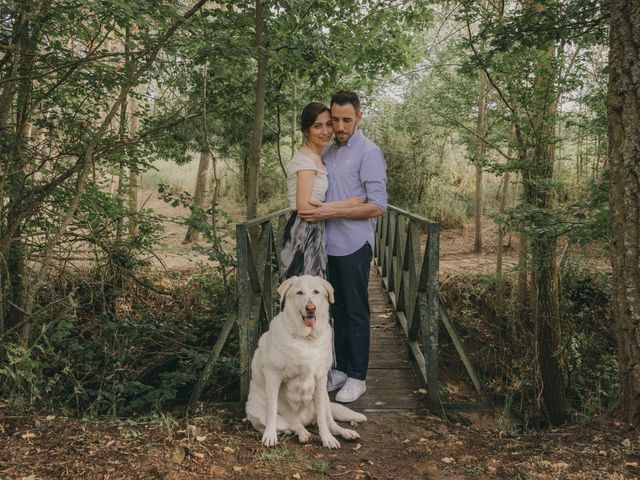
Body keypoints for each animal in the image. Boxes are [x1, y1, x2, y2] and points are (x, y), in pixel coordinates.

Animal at [245, 276, 364, 448]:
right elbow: (272, 410)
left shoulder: (320, 380)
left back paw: (344, 432)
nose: (311, 308)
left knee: (329, 422)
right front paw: (269, 436)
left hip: (326, 398)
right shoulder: (274, 376)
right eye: (299, 292)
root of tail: (306, 419)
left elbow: (322, 418)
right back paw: (302, 433)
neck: (306, 339)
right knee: (291, 424)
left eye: (316, 292)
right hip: (256, 409)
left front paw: (327, 439)